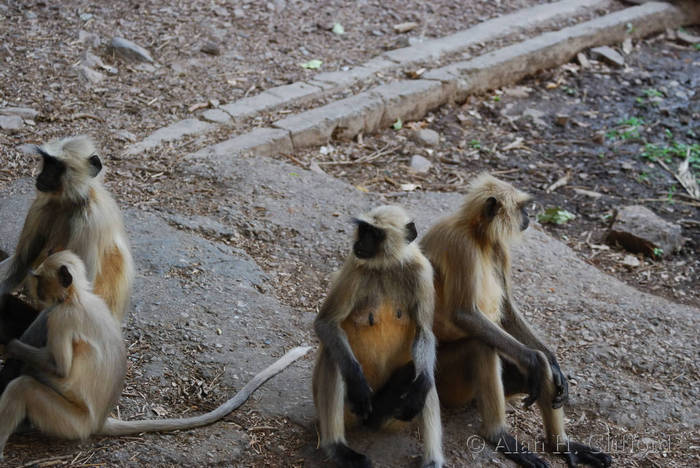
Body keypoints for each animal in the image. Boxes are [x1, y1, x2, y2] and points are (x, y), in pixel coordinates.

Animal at [314, 206, 442, 468]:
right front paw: (357, 382)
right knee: (334, 357)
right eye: (364, 229)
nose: (361, 242)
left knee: (423, 378)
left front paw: (421, 385)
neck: (387, 265)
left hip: (392, 418)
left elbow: (425, 333)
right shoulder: (354, 267)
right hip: (351, 413)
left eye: (374, 234)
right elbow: (325, 323)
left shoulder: (423, 272)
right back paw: (338, 448)